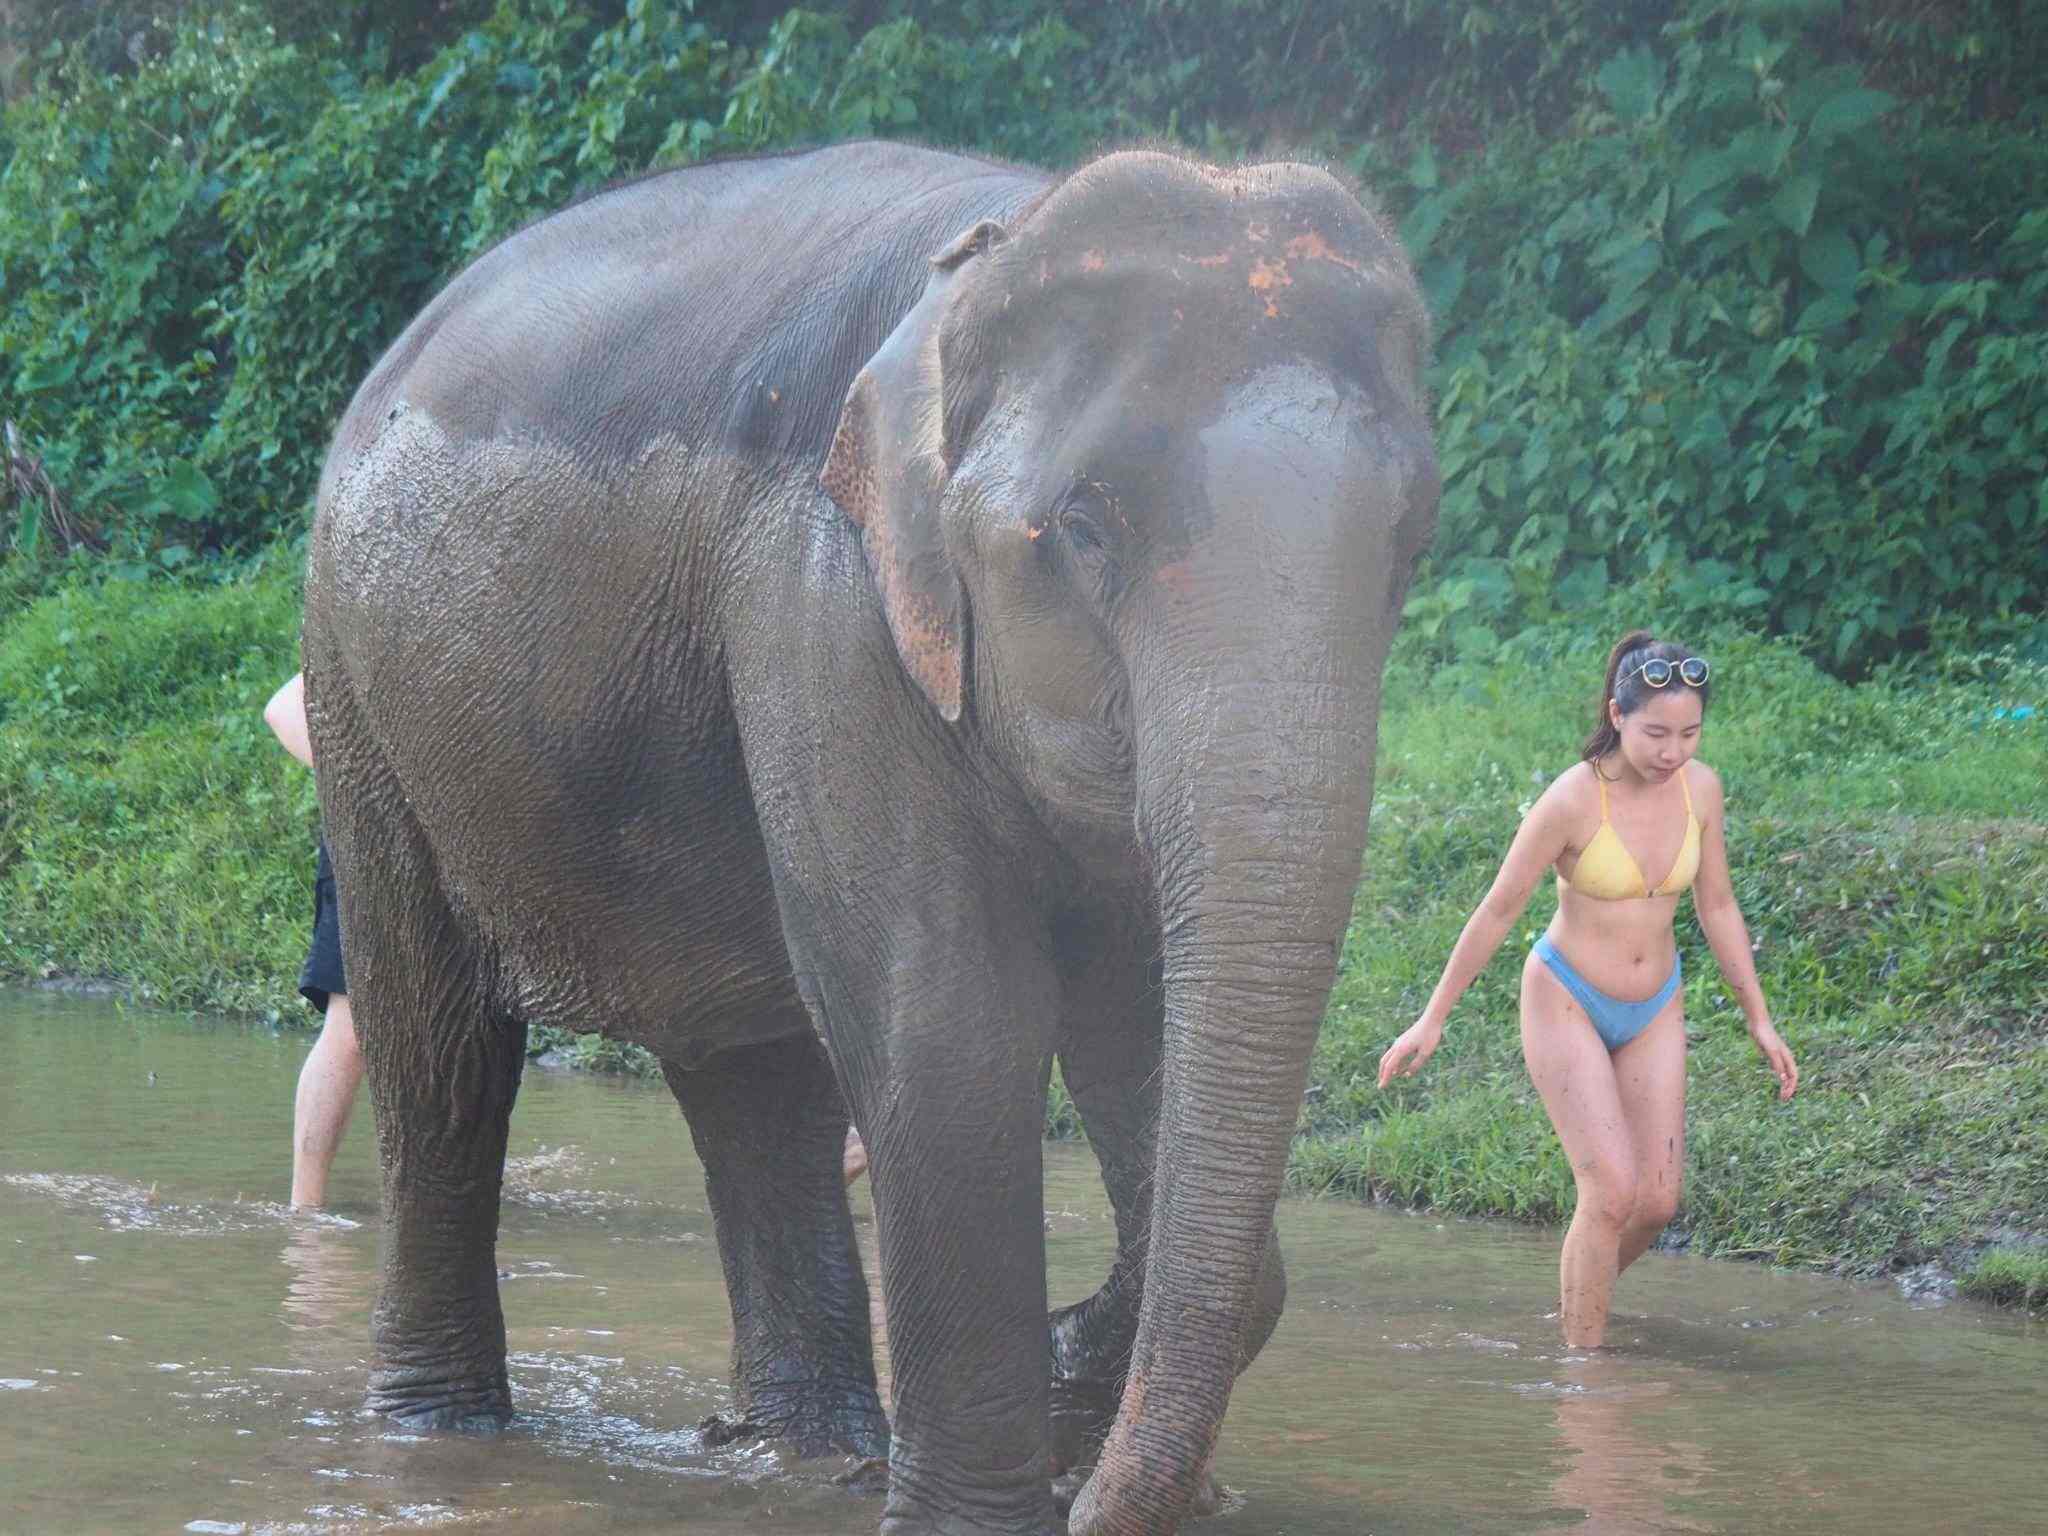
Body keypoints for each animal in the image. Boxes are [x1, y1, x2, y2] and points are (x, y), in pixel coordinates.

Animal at [302, 139, 1438, 1536]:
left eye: (1408, 540)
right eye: (1083, 528)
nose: (1099, 1496)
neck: (997, 247)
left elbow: (1137, 1025)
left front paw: (1063, 1391)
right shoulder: (827, 610)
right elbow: (950, 1024)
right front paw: (998, 1484)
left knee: (755, 1078)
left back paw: (805, 1452)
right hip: (360, 700)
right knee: (440, 1056)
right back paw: (440, 1435)